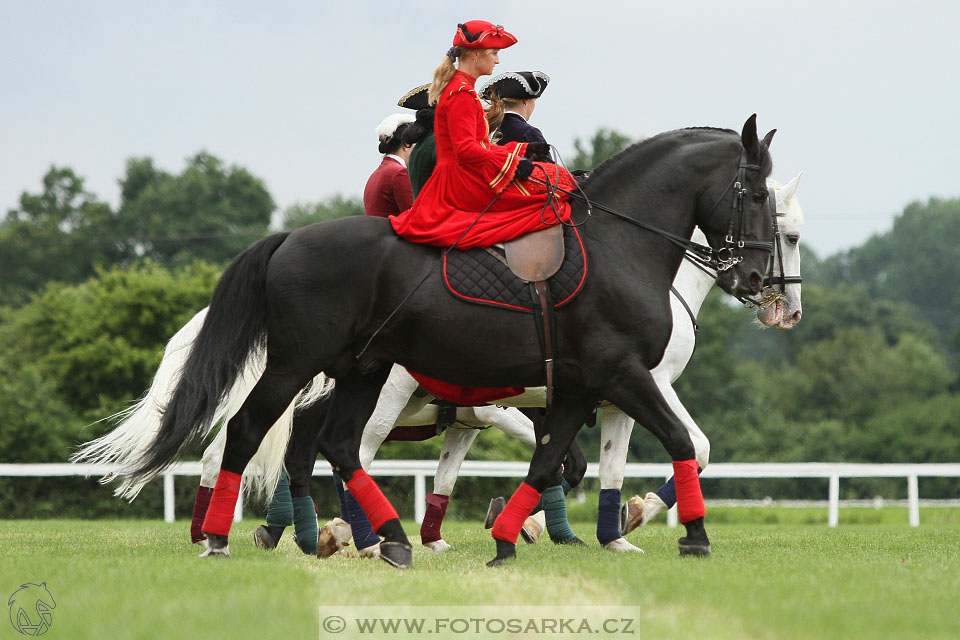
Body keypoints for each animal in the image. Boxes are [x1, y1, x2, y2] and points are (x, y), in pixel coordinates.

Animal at [129, 115, 772, 564]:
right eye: (760, 196)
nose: (758, 281)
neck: (620, 245)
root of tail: (289, 238)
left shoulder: (574, 390)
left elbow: (549, 466)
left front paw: (509, 537)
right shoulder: (624, 376)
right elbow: (680, 442)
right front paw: (694, 536)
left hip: (362, 371)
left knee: (333, 447)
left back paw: (380, 538)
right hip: (302, 369)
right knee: (251, 435)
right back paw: (228, 538)